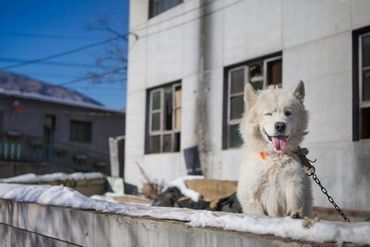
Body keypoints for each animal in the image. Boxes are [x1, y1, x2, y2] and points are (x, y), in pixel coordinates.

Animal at [237, 81, 312, 218]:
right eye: (268, 114)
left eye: (288, 113)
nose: (280, 125)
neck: (274, 156)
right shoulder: (252, 192)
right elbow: (258, 212)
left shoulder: (294, 182)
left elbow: (295, 200)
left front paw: (294, 213)